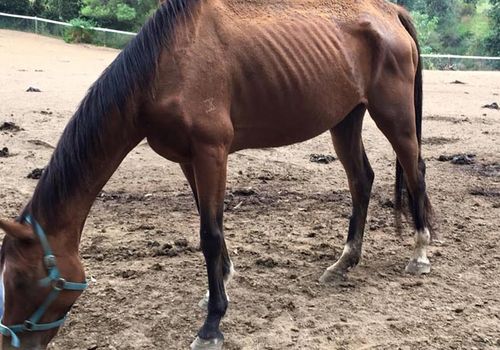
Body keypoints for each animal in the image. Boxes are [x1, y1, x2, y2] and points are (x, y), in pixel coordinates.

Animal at [0, 1, 434, 348]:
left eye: (20, 281)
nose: (11, 342)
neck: (166, 65)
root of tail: (389, 12)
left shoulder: (211, 153)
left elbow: (209, 235)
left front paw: (211, 326)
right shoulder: (188, 159)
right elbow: (213, 226)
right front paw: (217, 291)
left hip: (395, 117)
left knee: (415, 172)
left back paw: (420, 252)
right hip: (345, 119)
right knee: (361, 179)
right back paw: (344, 262)